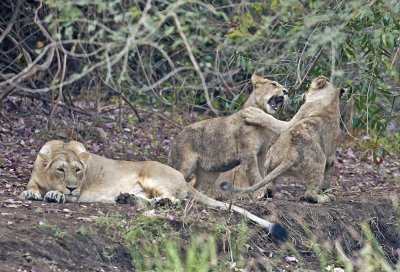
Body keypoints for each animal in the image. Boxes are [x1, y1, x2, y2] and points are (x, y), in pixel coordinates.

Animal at [20, 140, 288, 240]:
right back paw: (126, 198)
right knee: (149, 201)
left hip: (152, 176)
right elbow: (29, 186)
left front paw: (56, 194)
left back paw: (158, 203)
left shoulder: (79, 192)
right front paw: (32, 193)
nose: (71, 186)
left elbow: (63, 195)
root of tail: (182, 177)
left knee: (173, 200)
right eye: (61, 169)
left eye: (78, 170)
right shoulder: (35, 175)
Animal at [220, 75, 342, 203]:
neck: (332, 101)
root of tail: (291, 153)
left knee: (310, 194)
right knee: (269, 184)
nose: (303, 93)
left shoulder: (295, 119)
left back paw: (324, 197)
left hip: (319, 160)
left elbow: (272, 120)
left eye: (308, 88)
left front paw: (254, 114)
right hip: (271, 158)